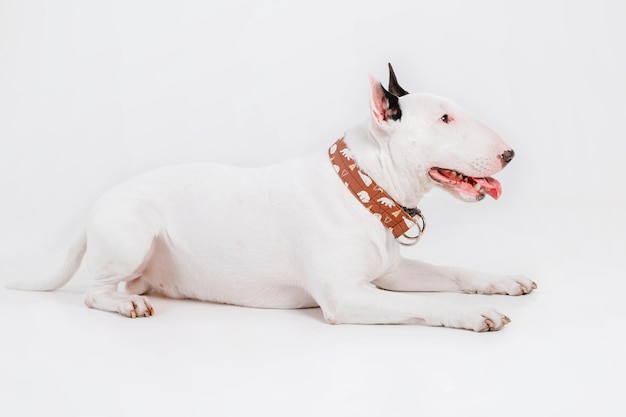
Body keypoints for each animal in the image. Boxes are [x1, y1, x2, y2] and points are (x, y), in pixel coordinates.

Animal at [9, 64, 532, 332]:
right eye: (444, 119)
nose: (510, 154)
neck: (362, 187)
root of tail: (97, 205)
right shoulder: (346, 297)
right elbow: (436, 300)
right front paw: (472, 312)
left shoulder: (392, 273)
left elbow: (453, 273)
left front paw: (502, 281)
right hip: (135, 229)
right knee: (95, 293)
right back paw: (125, 306)